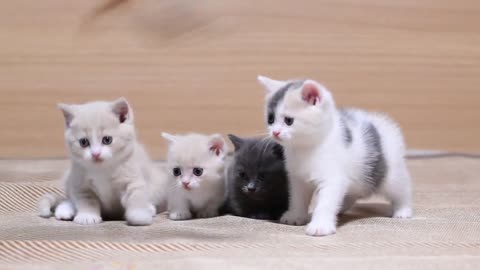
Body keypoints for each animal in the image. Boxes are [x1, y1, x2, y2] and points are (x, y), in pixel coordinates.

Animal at [38, 98, 169, 226]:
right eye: (83, 142)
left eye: (107, 139)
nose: (96, 154)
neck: (102, 170)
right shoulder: (80, 183)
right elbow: (86, 201)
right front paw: (87, 216)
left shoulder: (132, 177)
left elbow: (136, 196)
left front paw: (139, 216)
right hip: (68, 178)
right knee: (69, 198)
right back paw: (65, 210)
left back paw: (150, 208)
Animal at [258, 75, 412, 236]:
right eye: (270, 119)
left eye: (289, 121)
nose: (275, 132)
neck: (305, 147)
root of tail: (382, 123)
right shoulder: (298, 179)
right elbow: (297, 198)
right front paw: (296, 216)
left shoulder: (333, 178)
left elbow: (326, 202)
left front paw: (320, 226)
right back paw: (342, 207)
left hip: (391, 173)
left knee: (402, 189)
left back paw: (403, 210)